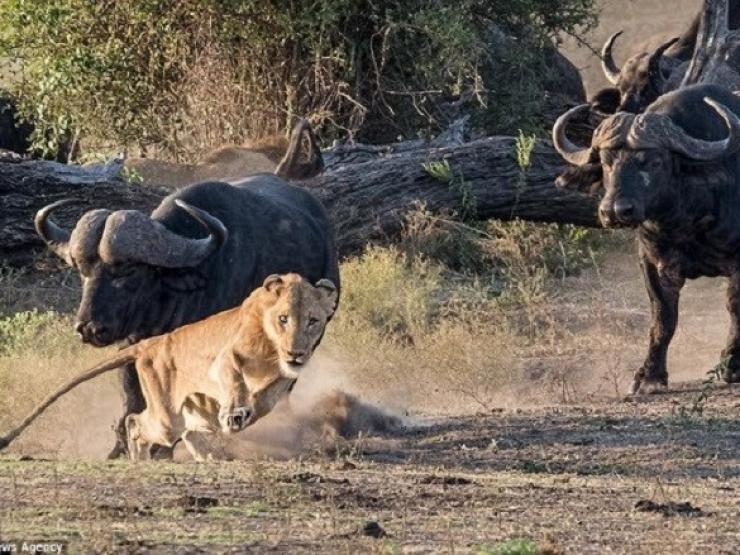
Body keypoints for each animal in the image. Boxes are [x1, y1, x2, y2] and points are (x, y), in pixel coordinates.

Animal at [552, 82, 740, 396]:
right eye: (606, 162)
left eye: (653, 161)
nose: (615, 210)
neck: (683, 222)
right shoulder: (652, 263)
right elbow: (662, 318)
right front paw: (649, 376)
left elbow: (734, 307)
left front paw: (731, 365)